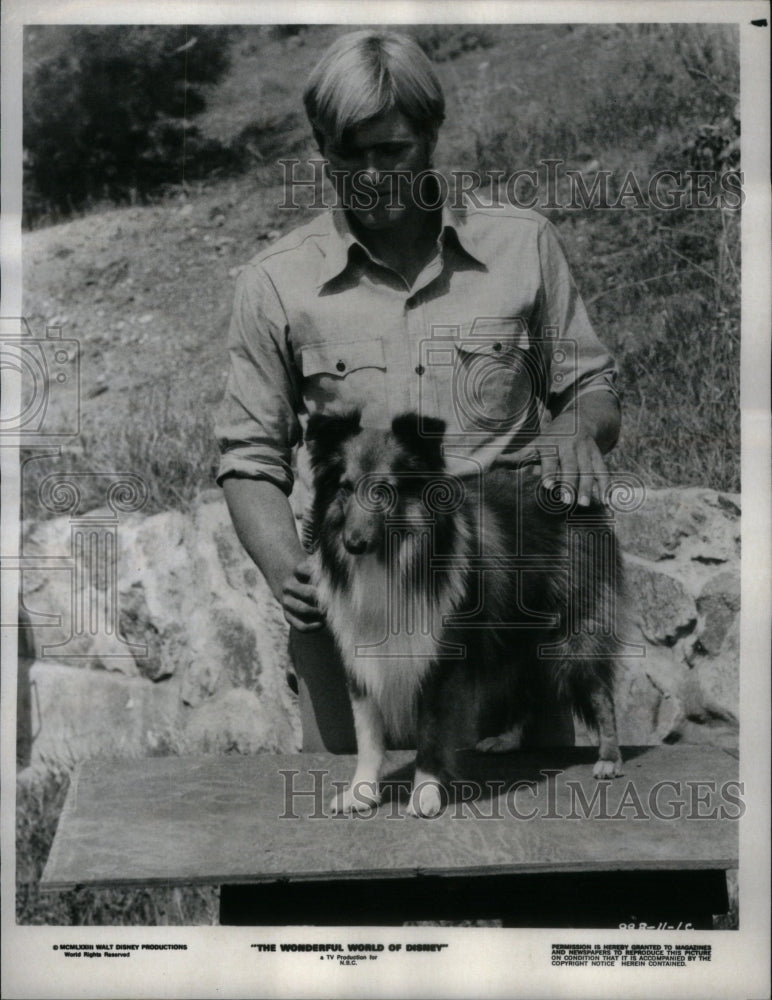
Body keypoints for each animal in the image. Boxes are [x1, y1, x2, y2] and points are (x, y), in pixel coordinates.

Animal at [304, 410, 624, 816]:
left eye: (385, 490)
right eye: (344, 487)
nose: (353, 544)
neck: (394, 559)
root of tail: (568, 494)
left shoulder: (438, 659)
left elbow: (430, 733)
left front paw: (424, 793)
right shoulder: (361, 657)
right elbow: (368, 734)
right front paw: (360, 792)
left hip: (574, 633)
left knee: (601, 693)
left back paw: (609, 758)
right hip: (514, 631)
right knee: (526, 686)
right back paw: (505, 738)